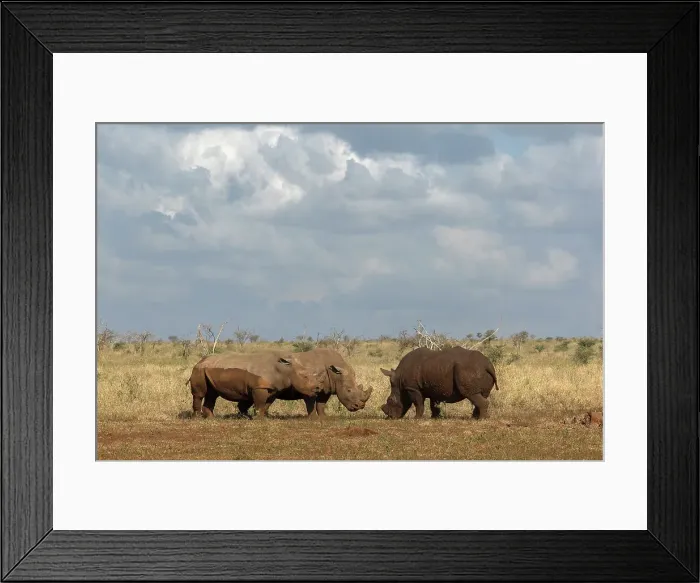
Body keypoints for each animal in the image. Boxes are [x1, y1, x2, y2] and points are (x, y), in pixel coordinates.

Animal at [186, 350, 322, 419]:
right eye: (304, 377)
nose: (318, 388)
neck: (285, 370)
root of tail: (199, 361)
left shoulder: (272, 388)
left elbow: (266, 404)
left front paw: (260, 418)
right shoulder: (259, 387)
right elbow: (260, 403)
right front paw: (258, 419)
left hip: (208, 369)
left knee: (212, 395)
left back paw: (211, 418)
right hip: (199, 370)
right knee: (200, 394)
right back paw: (197, 418)